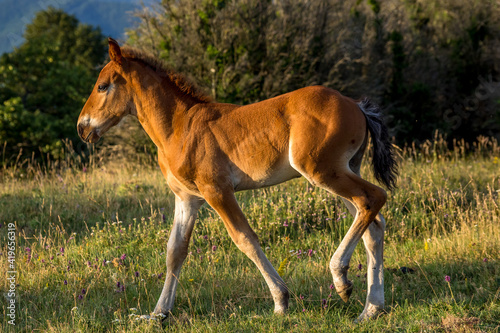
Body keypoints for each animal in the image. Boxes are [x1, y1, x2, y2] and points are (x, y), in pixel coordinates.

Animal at [77, 37, 398, 320]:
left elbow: (245, 238)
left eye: (102, 86)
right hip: (342, 170)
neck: (179, 127)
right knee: (373, 223)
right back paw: (370, 310)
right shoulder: (187, 198)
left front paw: (281, 302)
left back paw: (341, 279)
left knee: (373, 198)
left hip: (321, 170)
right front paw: (158, 313)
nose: (82, 127)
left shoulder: (217, 191)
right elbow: (175, 251)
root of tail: (357, 105)